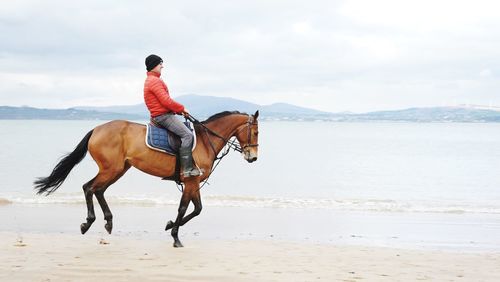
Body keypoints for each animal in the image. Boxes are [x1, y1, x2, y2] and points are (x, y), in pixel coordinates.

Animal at [34, 110, 262, 247]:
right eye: (256, 132)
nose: (253, 157)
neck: (206, 141)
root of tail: (96, 129)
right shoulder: (190, 181)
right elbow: (184, 208)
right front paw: (175, 236)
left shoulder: (194, 183)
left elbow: (196, 209)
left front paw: (170, 225)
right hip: (111, 169)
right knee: (89, 188)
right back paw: (88, 222)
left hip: (118, 170)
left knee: (97, 190)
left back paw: (107, 222)